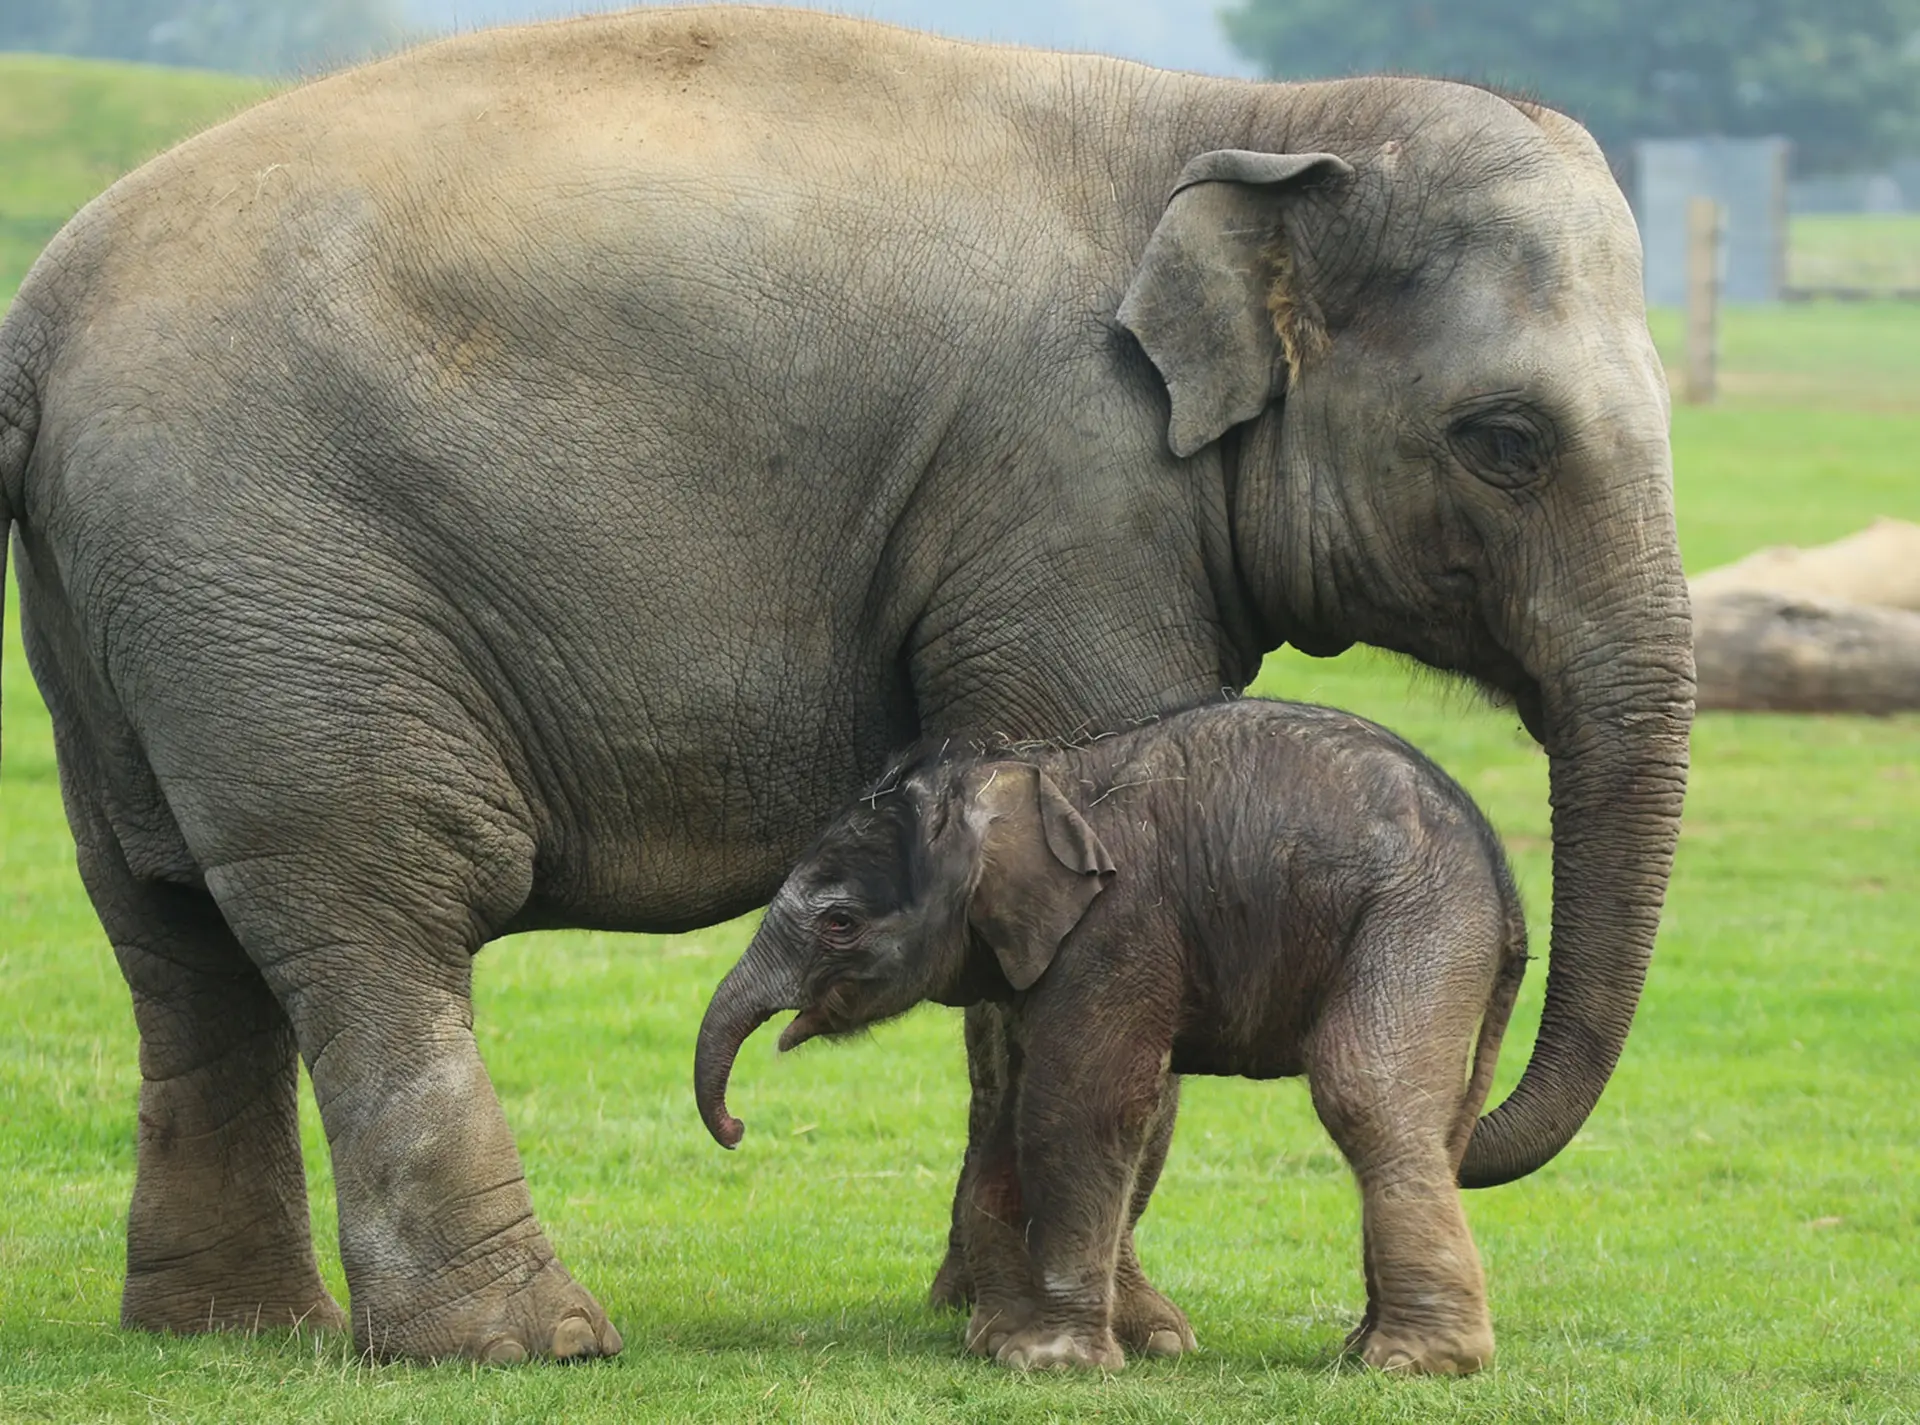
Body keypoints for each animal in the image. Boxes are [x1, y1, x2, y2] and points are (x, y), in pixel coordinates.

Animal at [695, 698, 1528, 1375]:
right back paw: (1368, 1348)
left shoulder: (1117, 927)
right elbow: (1015, 1116)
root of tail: (1501, 871)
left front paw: (1052, 1362)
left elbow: (1079, 1106)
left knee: (1364, 1091)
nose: (737, 1127)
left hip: (1417, 920)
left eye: (840, 922)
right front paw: (996, 1342)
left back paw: (1415, 1362)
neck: (1027, 775)